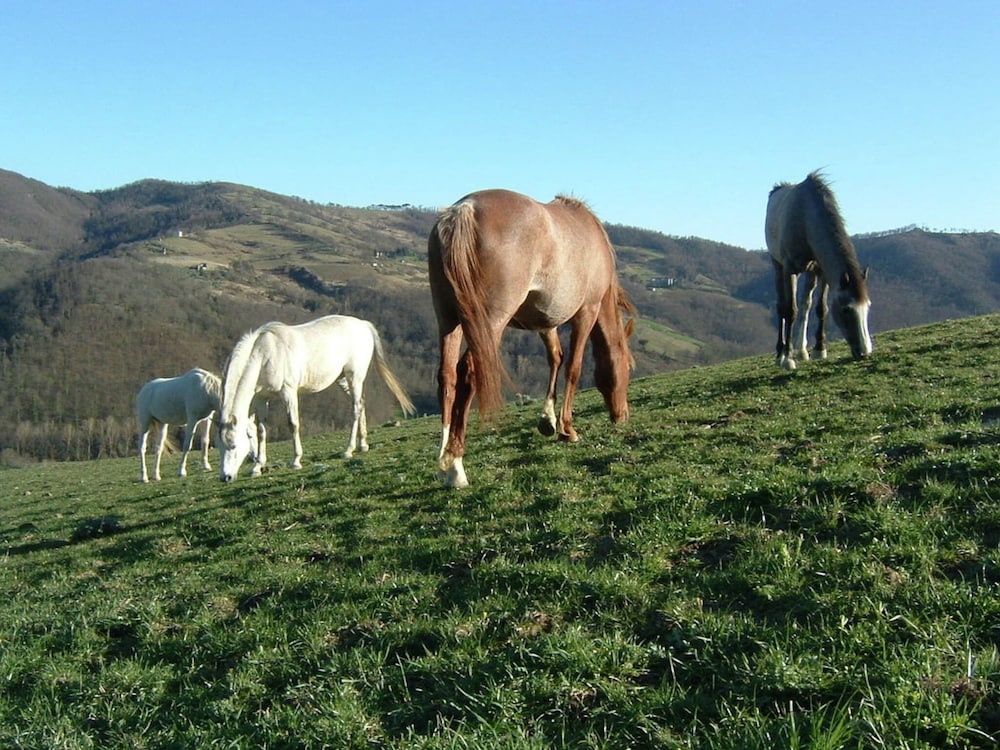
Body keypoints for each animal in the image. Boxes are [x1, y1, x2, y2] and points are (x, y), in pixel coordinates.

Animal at [217, 314, 416, 481]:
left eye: (233, 446)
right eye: (219, 447)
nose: (225, 477)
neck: (265, 354)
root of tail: (363, 325)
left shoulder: (288, 392)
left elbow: (293, 424)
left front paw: (296, 461)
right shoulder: (261, 398)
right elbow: (261, 431)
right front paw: (257, 467)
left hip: (354, 376)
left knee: (356, 409)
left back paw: (349, 450)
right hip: (343, 380)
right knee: (361, 403)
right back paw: (363, 445)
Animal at [428, 189, 636, 488]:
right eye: (629, 368)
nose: (622, 415)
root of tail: (464, 210)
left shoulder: (545, 322)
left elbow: (556, 358)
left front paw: (547, 420)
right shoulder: (586, 312)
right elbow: (573, 368)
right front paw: (567, 429)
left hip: (448, 319)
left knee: (447, 377)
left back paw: (443, 461)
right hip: (489, 322)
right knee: (469, 372)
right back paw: (456, 466)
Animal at [765, 171, 873, 370]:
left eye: (867, 307)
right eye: (846, 310)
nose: (864, 352)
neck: (806, 217)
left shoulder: (822, 270)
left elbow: (821, 308)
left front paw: (819, 349)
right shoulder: (789, 269)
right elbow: (790, 310)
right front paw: (788, 358)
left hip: (811, 273)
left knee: (806, 304)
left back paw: (801, 350)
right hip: (778, 266)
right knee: (782, 307)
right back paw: (780, 352)